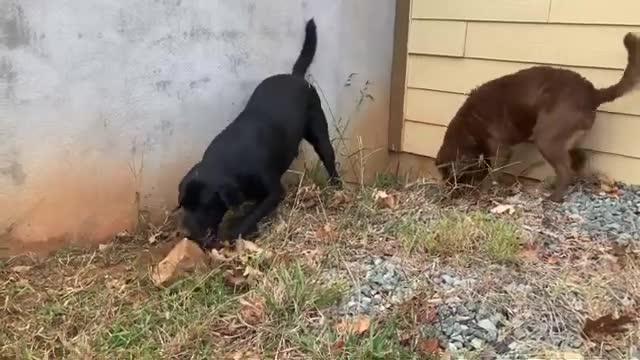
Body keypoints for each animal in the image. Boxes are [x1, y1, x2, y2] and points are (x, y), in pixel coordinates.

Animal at [172, 19, 338, 250]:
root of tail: (295, 76)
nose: (185, 233)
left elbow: (251, 216)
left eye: (205, 206)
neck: (228, 161)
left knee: (329, 158)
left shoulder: (274, 192)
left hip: (319, 133)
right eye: (184, 205)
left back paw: (338, 186)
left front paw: (234, 233)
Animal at [436, 32, 640, 202]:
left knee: (565, 169)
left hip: (547, 136)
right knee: (578, 158)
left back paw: (554, 197)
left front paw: (483, 193)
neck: (468, 125)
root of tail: (593, 93)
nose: (448, 196)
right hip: (567, 137)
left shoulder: (501, 149)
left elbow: (493, 173)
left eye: (451, 176)